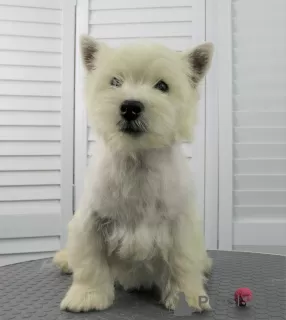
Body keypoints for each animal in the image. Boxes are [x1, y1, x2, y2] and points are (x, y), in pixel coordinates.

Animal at [54, 35, 213, 312]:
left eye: (162, 86)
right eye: (115, 81)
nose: (130, 107)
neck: (137, 160)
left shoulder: (180, 224)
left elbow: (183, 263)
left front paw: (189, 296)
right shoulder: (91, 221)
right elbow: (89, 263)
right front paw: (87, 296)